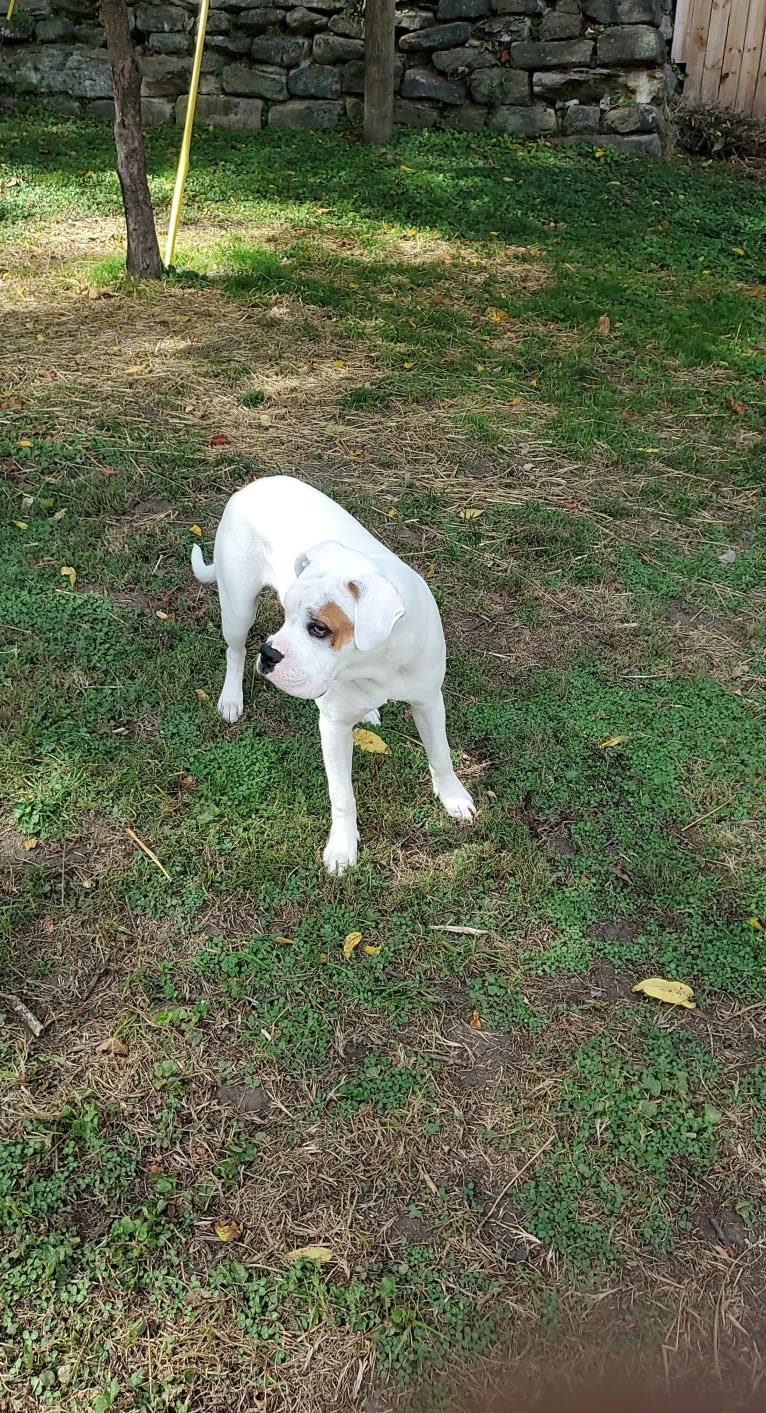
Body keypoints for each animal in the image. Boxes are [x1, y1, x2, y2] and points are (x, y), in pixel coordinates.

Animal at [192, 477, 477, 870]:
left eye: (319, 628)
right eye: (288, 613)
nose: (269, 653)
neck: (376, 664)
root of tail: (253, 485)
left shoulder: (429, 703)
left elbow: (441, 755)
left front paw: (452, 796)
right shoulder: (334, 728)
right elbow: (343, 796)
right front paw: (342, 847)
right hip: (237, 609)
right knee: (234, 651)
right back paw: (232, 697)